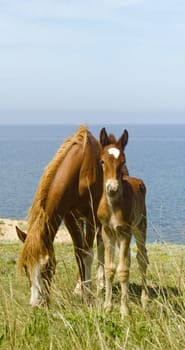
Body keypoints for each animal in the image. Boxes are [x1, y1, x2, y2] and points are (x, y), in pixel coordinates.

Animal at [15, 126, 104, 306]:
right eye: (26, 266)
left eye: (47, 265)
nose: (36, 304)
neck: (80, 171)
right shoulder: (69, 216)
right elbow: (79, 252)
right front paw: (81, 290)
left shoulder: (91, 215)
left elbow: (88, 253)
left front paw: (88, 293)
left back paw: (101, 283)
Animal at [97, 128, 149, 318]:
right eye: (102, 161)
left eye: (123, 161)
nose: (112, 188)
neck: (113, 206)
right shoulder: (107, 231)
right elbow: (110, 268)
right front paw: (106, 307)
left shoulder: (125, 230)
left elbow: (123, 270)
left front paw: (124, 311)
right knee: (128, 260)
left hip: (140, 226)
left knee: (142, 258)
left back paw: (144, 300)